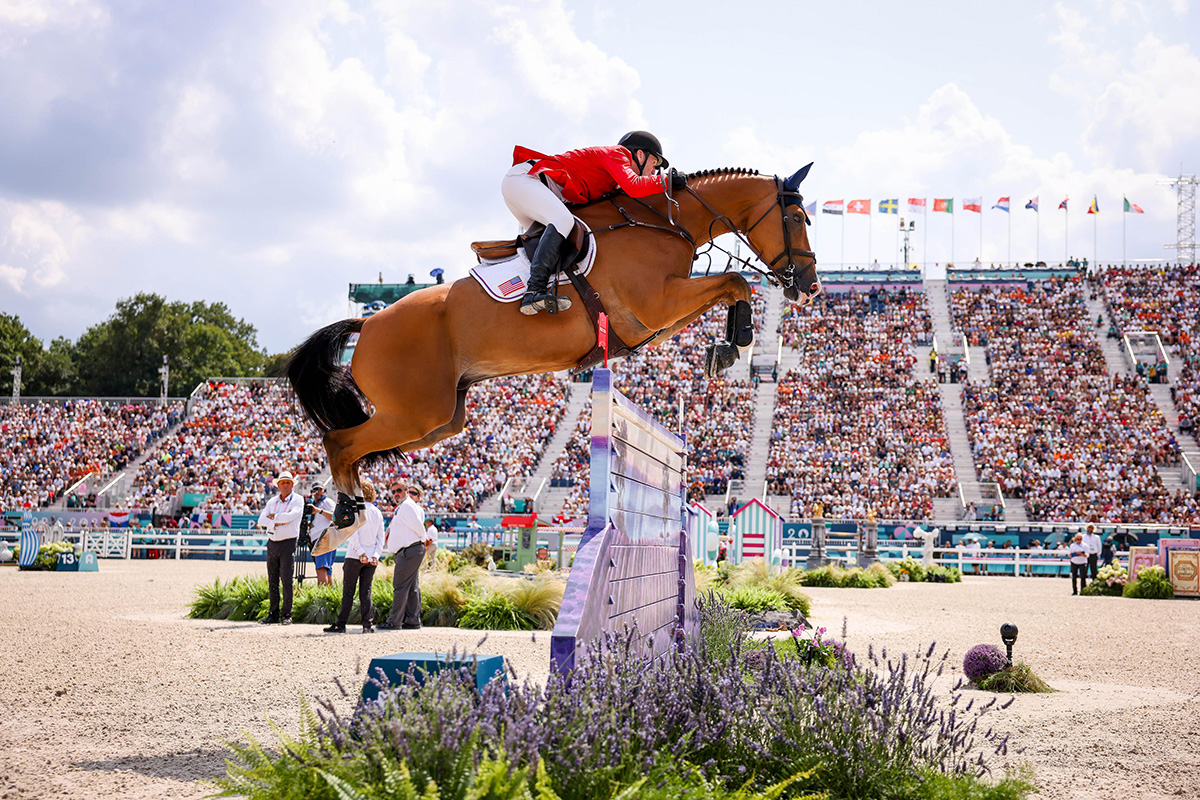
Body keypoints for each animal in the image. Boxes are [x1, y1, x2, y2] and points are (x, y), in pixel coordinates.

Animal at [285, 164, 820, 551]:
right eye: (796, 220)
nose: (810, 287)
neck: (666, 224)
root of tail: (369, 324)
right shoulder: (655, 305)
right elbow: (734, 281)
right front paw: (736, 341)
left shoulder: (655, 320)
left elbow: (729, 286)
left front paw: (728, 345)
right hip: (415, 412)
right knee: (339, 442)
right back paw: (344, 517)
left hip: (440, 419)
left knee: (357, 445)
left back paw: (345, 515)